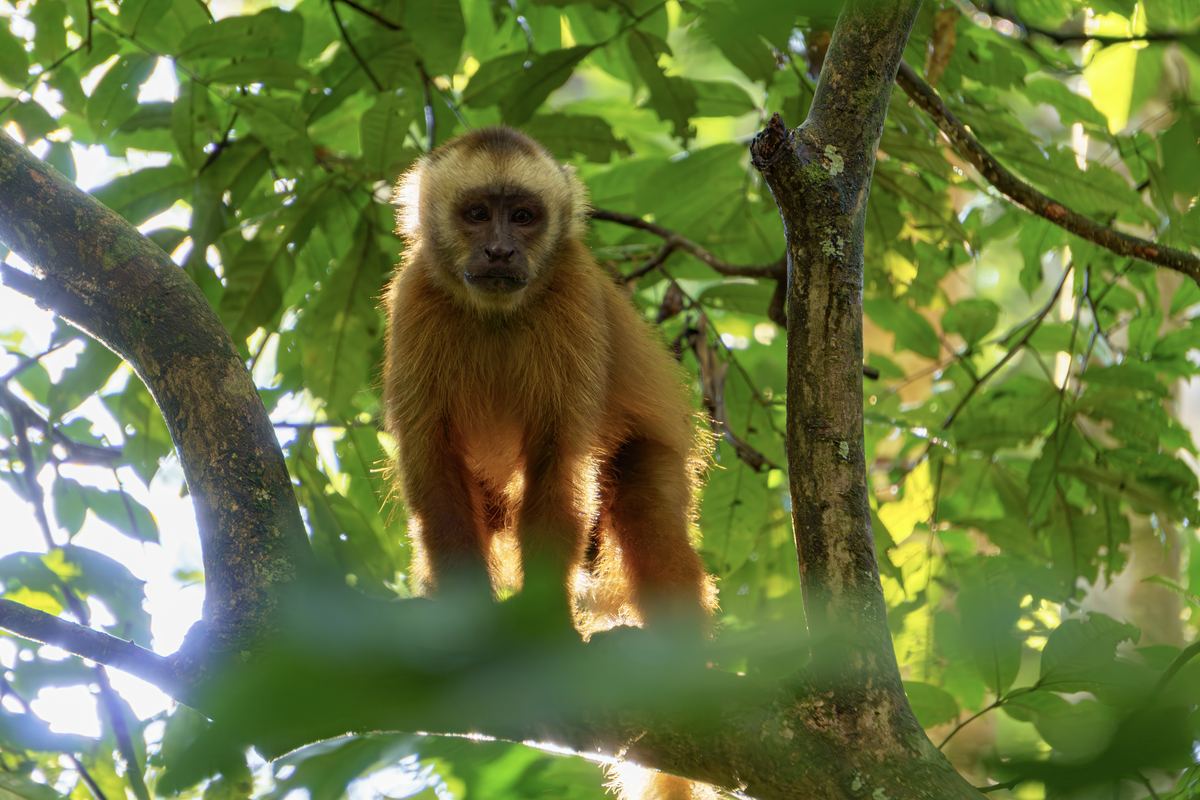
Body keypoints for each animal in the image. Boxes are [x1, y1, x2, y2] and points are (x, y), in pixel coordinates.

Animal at [382, 127, 716, 633]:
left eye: (523, 217)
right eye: (478, 214)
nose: (500, 251)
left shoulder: (572, 292)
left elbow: (560, 456)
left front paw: (546, 618)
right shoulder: (414, 296)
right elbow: (432, 459)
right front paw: (464, 612)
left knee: (647, 509)